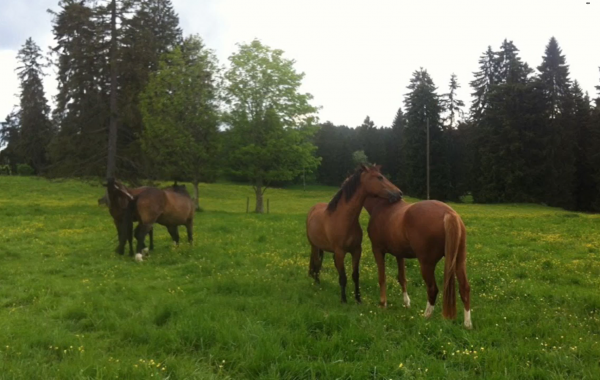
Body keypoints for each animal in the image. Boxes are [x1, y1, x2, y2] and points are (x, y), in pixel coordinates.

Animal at [304, 165, 404, 304]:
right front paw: (344, 300)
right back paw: (317, 282)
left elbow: (355, 275)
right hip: (314, 246)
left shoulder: (356, 250)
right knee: (317, 262)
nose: (399, 193)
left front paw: (358, 299)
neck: (344, 219)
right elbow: (343, 277)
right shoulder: (340, 252)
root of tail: (313, 209)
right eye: (379, 177)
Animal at [360, 194, 474, 328]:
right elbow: (402, 278)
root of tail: (449, 213)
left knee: (433, 289)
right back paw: (467, 324)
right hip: (459, 261)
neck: (381, 205)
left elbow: (382, 278)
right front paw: (406, 303)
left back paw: (426, 316)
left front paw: (383, 304)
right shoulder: (399, 254)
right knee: (464, 288)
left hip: (426, 265)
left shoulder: (377, 250)